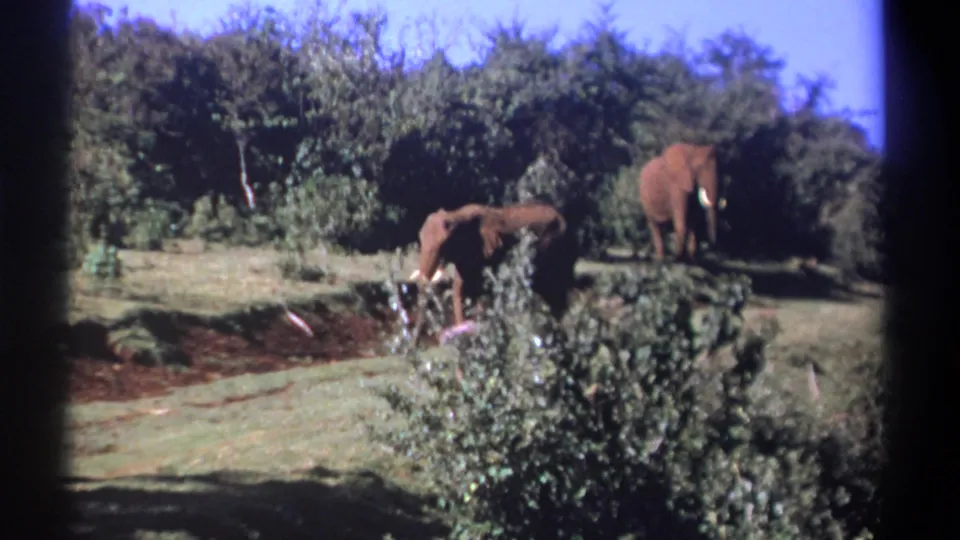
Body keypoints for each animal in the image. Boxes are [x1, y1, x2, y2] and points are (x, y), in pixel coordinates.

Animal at [410, 202, 579, 344]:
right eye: (420, 238)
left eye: (444, 245)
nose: (414, 346)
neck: (457, 215)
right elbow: (459, 289)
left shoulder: (492, 252)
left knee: (557, 295)